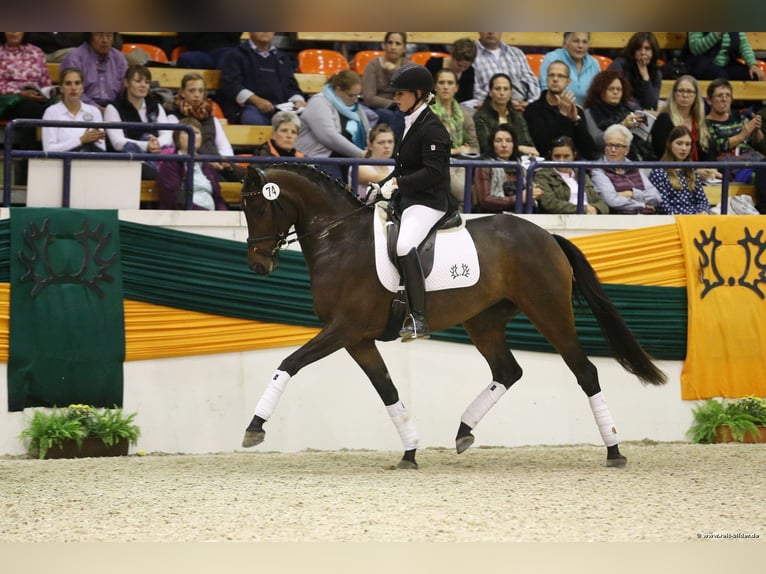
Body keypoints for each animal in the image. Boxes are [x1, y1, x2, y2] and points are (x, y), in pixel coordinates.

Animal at [240, 164, 664, 470]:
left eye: (259, 207)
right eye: (243, 208)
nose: (258, 266)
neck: (340, 240)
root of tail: (547, 236)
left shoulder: (342, 329)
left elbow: (289, 363)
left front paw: (254, 427)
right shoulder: (357, 340)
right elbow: (388, 391)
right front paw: (410, 452)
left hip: (549, 312)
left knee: (585, 372)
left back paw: (614, 451)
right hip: (484, 321)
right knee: (507, 371)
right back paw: (463, 431)